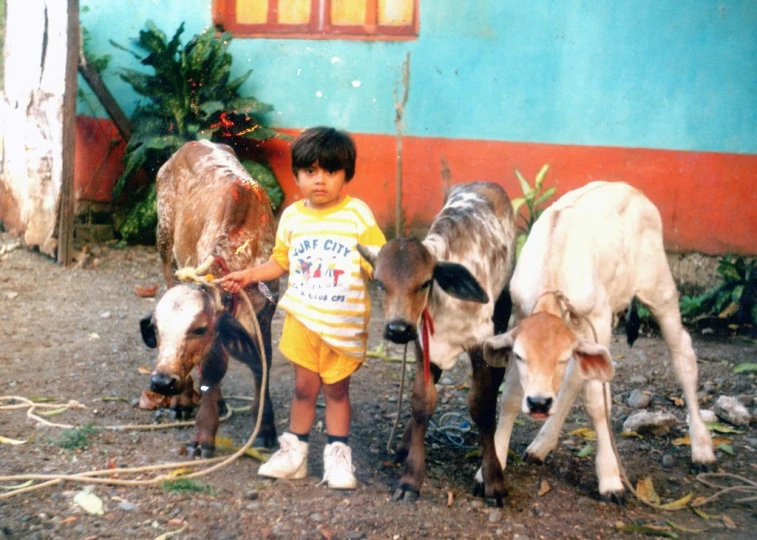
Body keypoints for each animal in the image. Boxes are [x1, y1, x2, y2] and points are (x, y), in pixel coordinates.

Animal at [138, 139, 278, 456]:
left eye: (200, 328)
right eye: (156, 330)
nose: (162, 382)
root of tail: (194, 142)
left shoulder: (266, 312)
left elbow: (262, 365)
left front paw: (265, 428)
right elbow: (214, 370)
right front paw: (203, 435)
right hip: (165, 248)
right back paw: (185, 401)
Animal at [358, 184, 516, 504]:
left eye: (424, 283)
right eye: (380, 283)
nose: (397, 329)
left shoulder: (479, 342)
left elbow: (482, 405)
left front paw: (493, 479)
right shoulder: (422, 343)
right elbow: (422, 401)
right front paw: (410, 477)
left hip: (503, 307)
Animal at [484, 181, 716, 502]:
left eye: (560, 358)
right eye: (519, 357)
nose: (540, 403)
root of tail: (631, 189)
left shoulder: (599, 319)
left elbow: (597, 402)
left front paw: (610, 480)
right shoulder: (522, 316)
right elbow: (511, 395)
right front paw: (493, 468)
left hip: (659, 288)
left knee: (682, 354)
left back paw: (702, 449)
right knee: (575, 379)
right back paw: (541, 445)